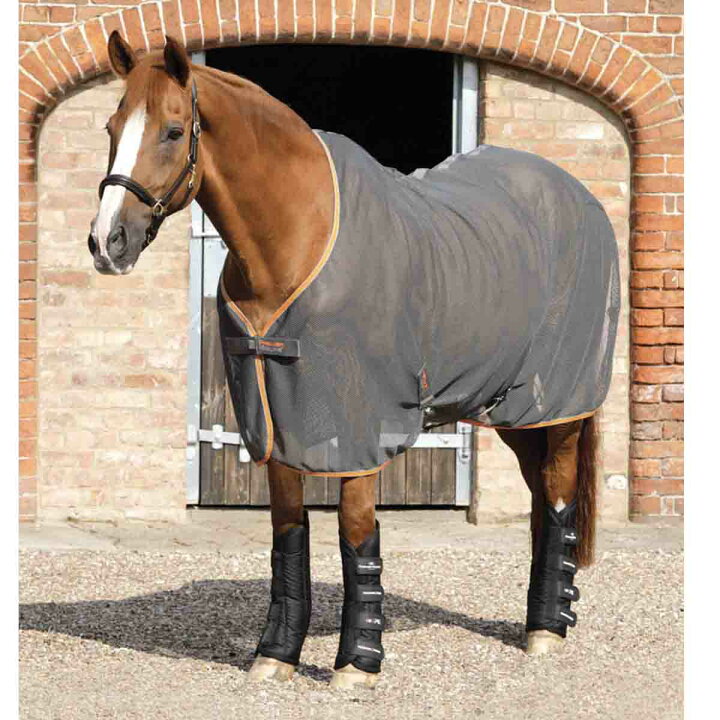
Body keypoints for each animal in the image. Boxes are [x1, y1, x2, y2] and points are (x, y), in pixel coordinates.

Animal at [87, 33, 618, 689]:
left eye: (171, 130)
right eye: (111, 127)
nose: (107, 242)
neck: (295, 237)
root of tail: (579, 196)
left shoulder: (361, 424)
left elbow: (356, 531)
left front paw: (357, 662)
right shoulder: (274, 418)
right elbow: (288, 532)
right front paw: (275, 655)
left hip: (559, 404)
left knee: (559, 491)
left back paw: (545, 631)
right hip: (512, 408)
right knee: (542, 496)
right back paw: (549, 617)